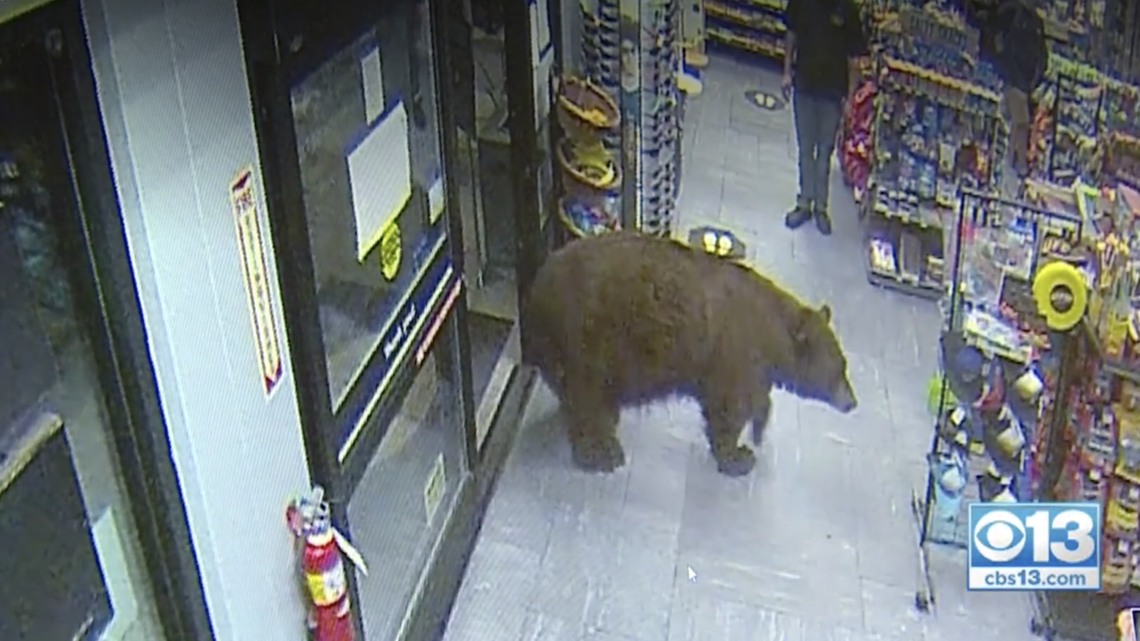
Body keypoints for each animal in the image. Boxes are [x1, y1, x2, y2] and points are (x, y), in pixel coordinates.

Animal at [521, 231, 857, 477]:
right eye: (840, 368)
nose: (852, 402)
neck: (773, 333)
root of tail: (537, 289)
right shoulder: (735, 351)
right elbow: (730, 404)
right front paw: (738, 455)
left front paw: (757, 431)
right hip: (589, 340)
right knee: (589, 397)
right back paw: (601, 452)